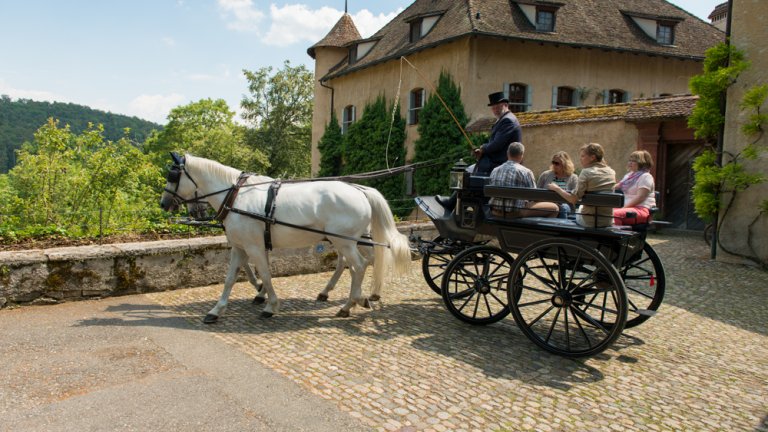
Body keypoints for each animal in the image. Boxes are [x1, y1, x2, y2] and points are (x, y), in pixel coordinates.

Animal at [158, 154, 408, 318]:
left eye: (172, 176)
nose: (163, 203)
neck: (236, 197)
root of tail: (359, 190)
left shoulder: (254, 247)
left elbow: (266, 275)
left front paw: (270, 304)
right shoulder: (240, 247)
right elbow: (231, 278)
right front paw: (217, 310)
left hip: (345, 241)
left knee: (359, 265)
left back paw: (350, 303)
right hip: (349, 240)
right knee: (360, 262)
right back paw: (359, 296)